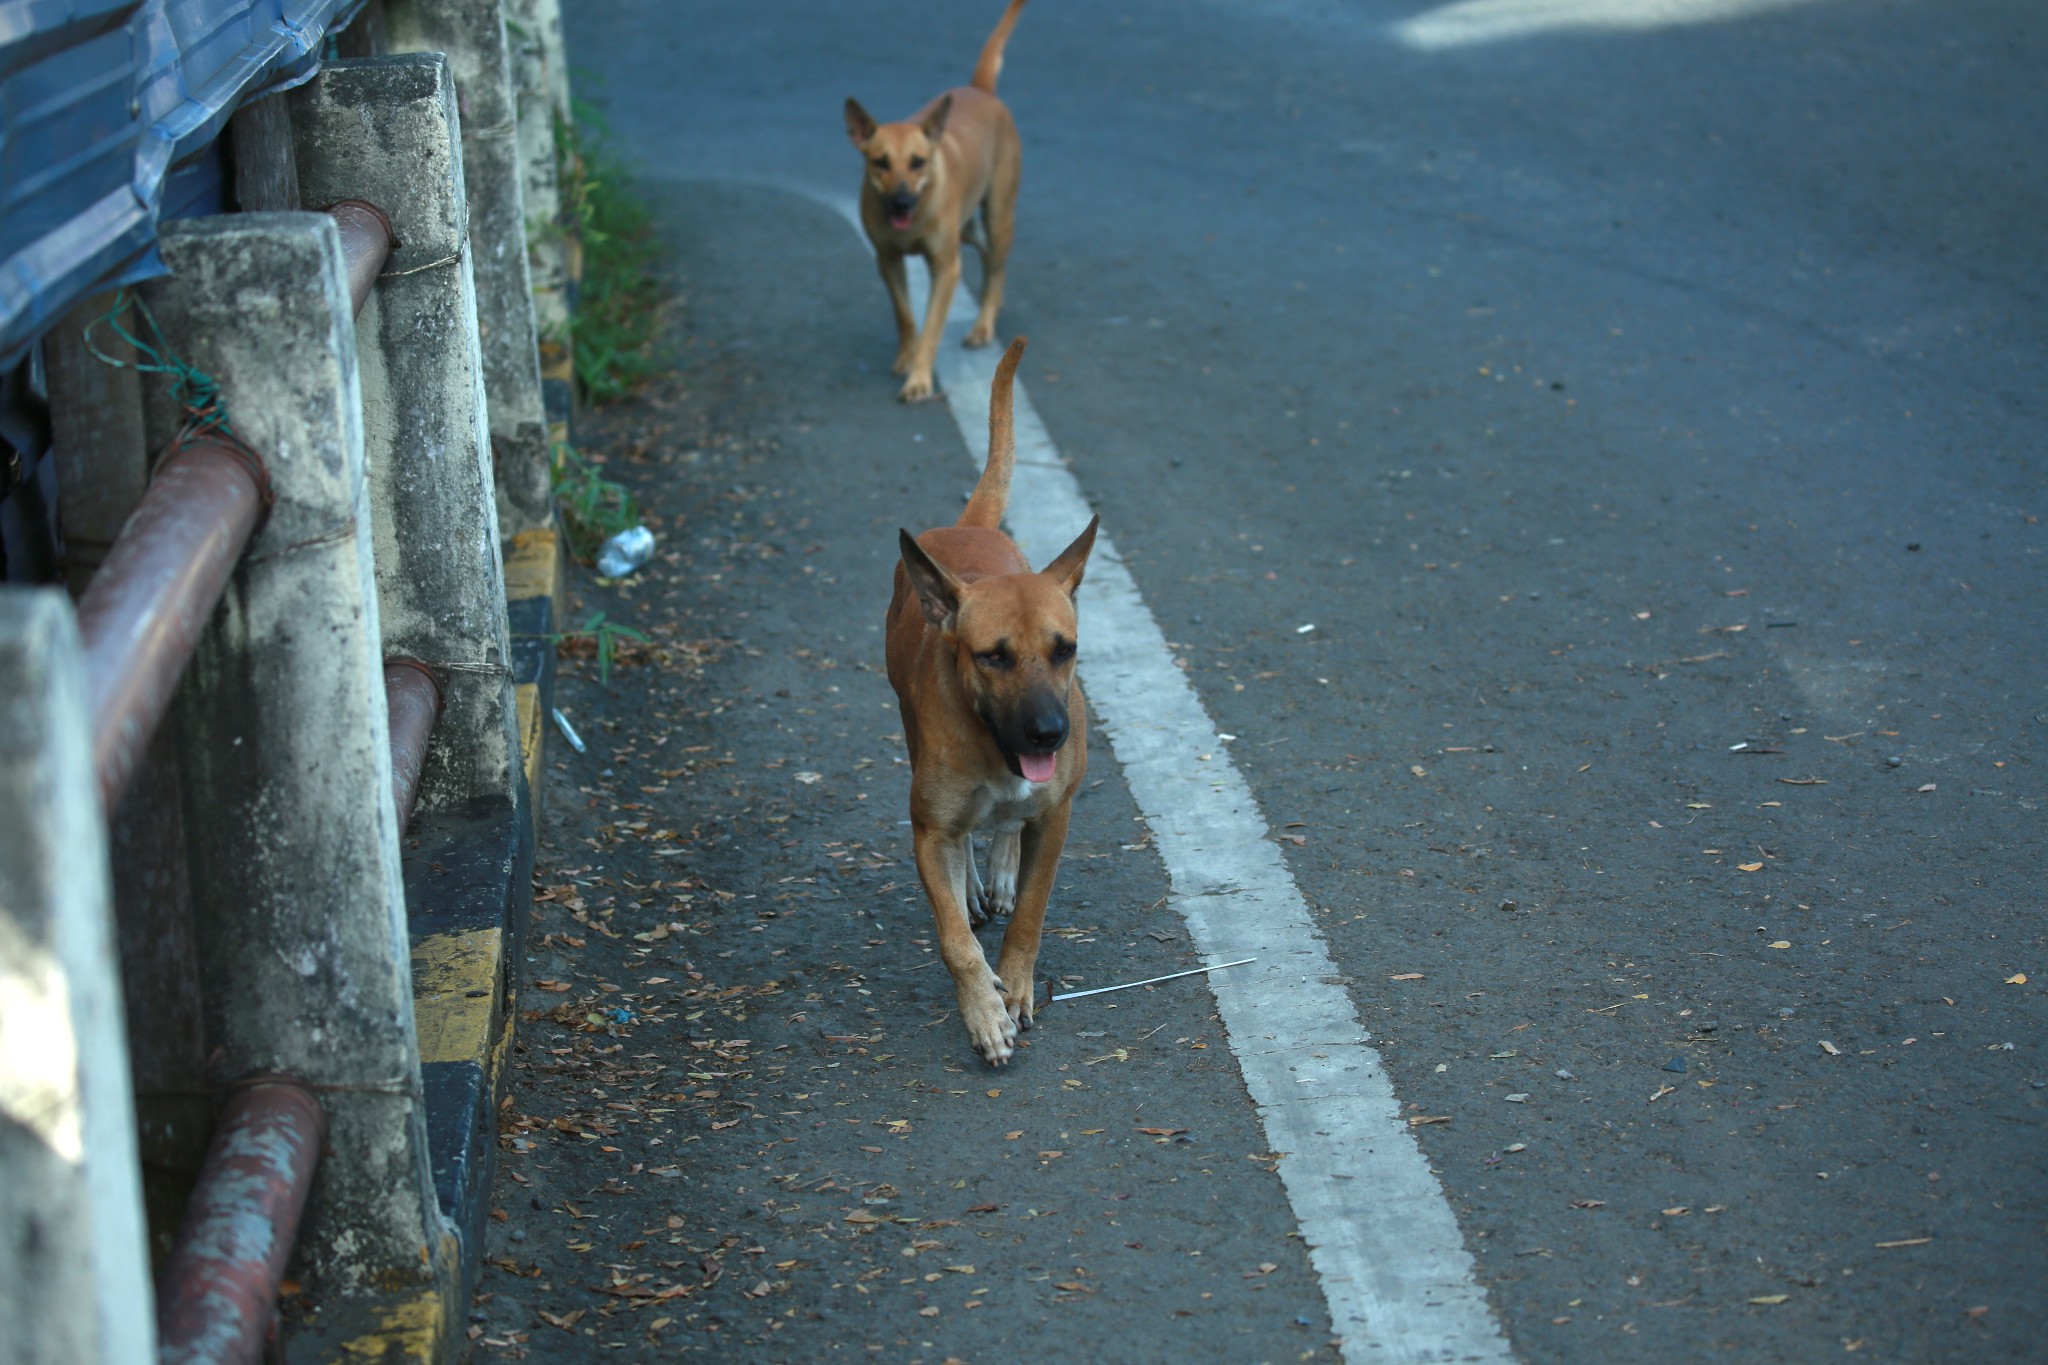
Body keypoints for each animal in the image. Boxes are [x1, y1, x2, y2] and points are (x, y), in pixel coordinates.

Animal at [839, 0, 1024, 403]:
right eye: (880, 162)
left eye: (918, 161)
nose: (901, 202)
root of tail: (980, 90)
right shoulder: (887, 259)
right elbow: (906, 316)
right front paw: (906, 358)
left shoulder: (946, 266)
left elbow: (932, 328)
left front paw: (919, 378)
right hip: (966, 227)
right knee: (989, 256)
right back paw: (994, 302)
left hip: (998, 212)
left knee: (996, 260)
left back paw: (983, 323)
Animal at [888, 335, 1097, 1064]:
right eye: (993, 656)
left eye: (1065, 648)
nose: (1049, 733)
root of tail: (966, 527)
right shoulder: (928, 832)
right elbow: (955, 937)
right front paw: (983, 1011)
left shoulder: (1056, 815)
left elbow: (1031, 911)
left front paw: (1015, 987)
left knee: (1009, 827)